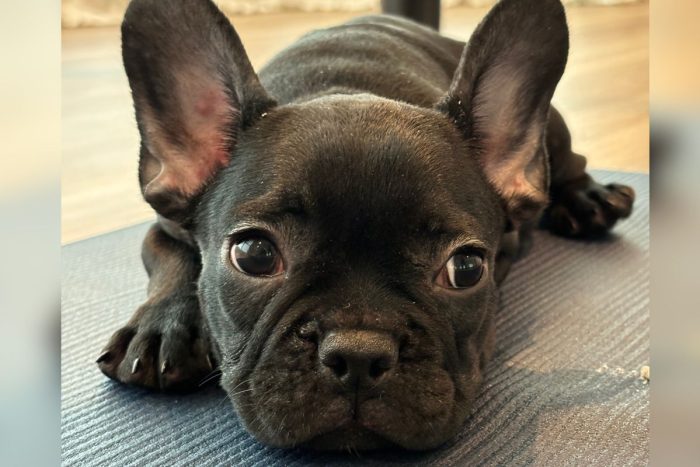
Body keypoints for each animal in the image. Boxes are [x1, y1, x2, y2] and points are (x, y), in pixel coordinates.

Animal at [95, 0, 636, 452]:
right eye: (253, 255)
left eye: (466, 268)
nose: (358, 353)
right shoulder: (165, 224)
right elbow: (172, 261)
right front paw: (161, 329)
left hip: (554, 135)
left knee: (571, 164)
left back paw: (590, 199)